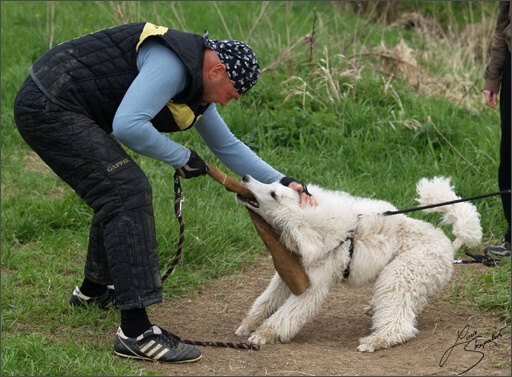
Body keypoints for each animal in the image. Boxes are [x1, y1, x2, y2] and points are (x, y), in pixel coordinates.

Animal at [234, 175, 482, 352]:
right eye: (273, 185)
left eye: (273, 194)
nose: (245, 177)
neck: (315, 229)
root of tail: (450, 245)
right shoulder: (289, 275)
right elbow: (265, 301)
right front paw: (248, 325)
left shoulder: (313, 287)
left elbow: (287, 314)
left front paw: (263, 334)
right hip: (410, 279)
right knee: (410, 304)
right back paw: (375, 310)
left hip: (400, 273)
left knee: (400, 323)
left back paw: (376, 341)